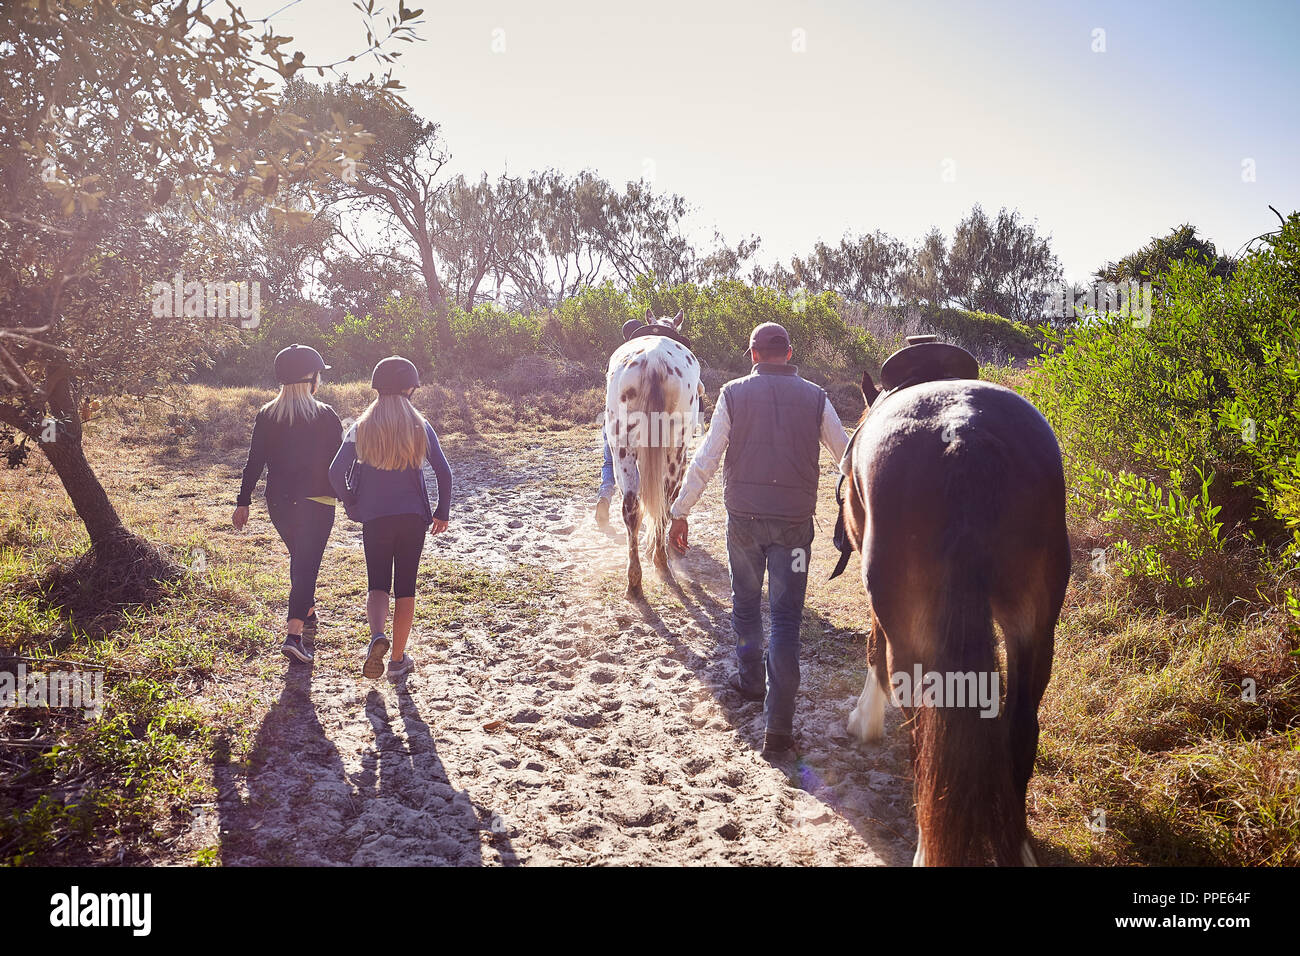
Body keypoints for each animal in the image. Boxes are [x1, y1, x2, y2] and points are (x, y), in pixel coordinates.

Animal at [605, 312, 702, 598]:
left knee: (631, 507)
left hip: (622, 449)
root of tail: (655, 363)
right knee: (665, 502)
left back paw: (635, 579)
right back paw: (660, 560)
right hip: (675, 452)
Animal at [837, 361, 1071, 863]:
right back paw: (1017, 844)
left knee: (924, 738)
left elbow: (872, 647)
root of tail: (963, 433)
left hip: (912, 635)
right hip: (1035, 628)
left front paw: (865, 720)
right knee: (1020, 726)